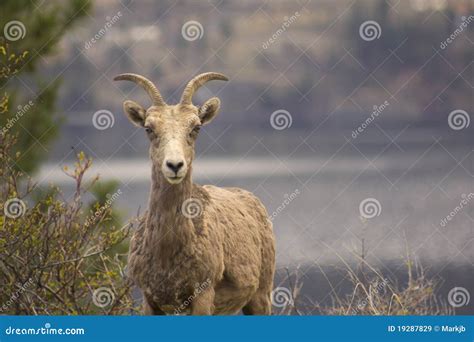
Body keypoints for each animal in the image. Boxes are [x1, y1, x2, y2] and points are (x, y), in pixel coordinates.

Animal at [115, 72, 276, 316]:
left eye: (196, 128)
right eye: (148, 129)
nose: (174, 165)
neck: (166, 252)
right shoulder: (150, 300)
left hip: (261, 296)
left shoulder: (202, 295)